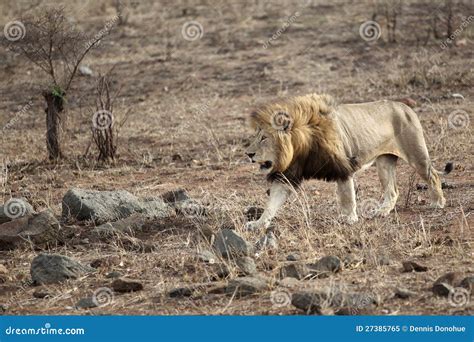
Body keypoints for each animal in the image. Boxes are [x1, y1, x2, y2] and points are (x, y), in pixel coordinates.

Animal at [244, 93, 452, 230]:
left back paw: (438, 203)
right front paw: (258, 223)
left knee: (433, 176)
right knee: (393, 191)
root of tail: (405, 107)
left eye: (264, 138)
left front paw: (349, 218)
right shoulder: (287, 176)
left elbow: (347, 196)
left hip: (416, 154)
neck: (301, 146)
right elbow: (272, 203)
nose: (248, 154)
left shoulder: (342, 166)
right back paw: (382, 211)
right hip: (384, 162)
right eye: (256, 136)